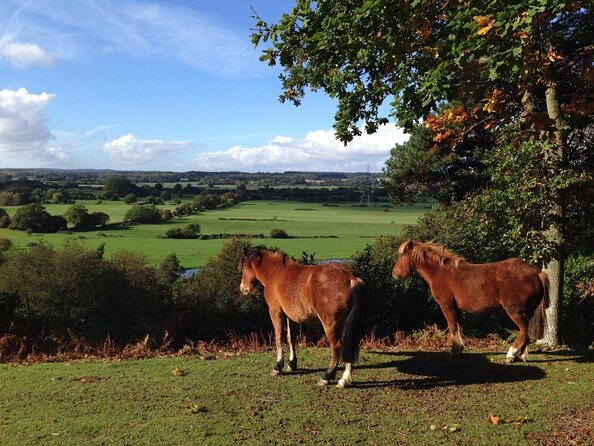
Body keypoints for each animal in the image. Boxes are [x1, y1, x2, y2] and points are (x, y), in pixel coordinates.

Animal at [238, 246, 364, 388]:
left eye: (243, 268)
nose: (242, 288)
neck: (275, 273)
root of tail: (350, 277)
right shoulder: (290, 316)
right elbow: (291, 338)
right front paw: (292, 364)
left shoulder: (275, 312)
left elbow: (279, 338)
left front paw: (277, 367)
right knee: (350, 344)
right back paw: (344, 379)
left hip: (330, 323)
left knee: (337, 346)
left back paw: (327, 376)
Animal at [390, 240, 548, 362]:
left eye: (401, 256)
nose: (394, 274)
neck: (440, 272)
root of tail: (536, 272)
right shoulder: (456, 308)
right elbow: (458, 327)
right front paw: (459, 349)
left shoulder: (447, 305)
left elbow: (452, 327)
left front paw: (453, 351)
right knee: (527, 334)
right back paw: (521, 355)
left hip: (515, 310)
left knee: (524, 331)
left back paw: (511, 354)